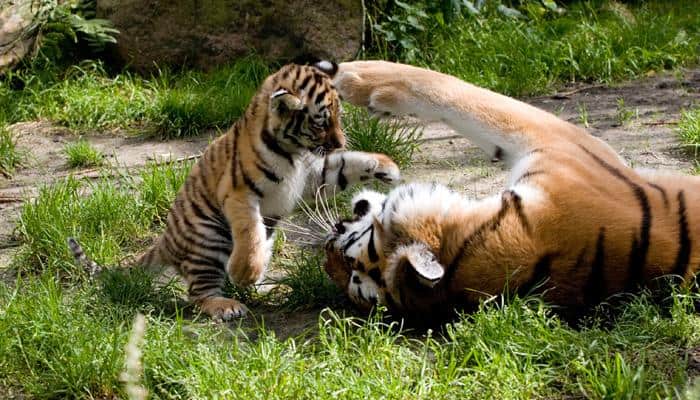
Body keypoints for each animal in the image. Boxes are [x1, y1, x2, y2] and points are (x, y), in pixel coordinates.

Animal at [68, 61, 400, 321]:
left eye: (339, 116)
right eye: (320, 124)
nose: (341, 141)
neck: (292, 150)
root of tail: (165, 242)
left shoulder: (314, 175)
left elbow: (346, 164)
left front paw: (387, 167)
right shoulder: (240, 193)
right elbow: (249, 231)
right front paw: (244, 271)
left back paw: (265, 285)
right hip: (208, 239)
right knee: (198, 293)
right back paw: (227, 304)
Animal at [323, 60, 700, 323]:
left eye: (350, 258)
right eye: (348, 272)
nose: (331, 236)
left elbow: (456, 92)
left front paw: (347, 74)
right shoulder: (564, 145)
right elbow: (459, 95)